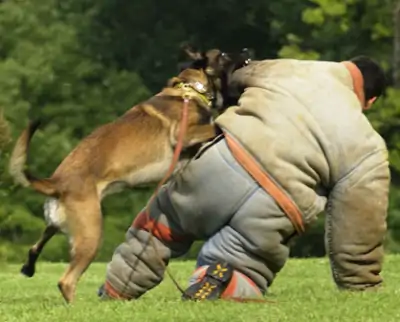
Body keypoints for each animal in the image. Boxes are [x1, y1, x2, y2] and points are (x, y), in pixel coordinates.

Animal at [8, 44, 253, 302]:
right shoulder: (184, 134)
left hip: (57, 225)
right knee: (66, 281)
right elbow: (215, 124)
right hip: (91, 235)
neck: (190, 90)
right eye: (224, 55)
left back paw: (28, 268)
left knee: (35, 247)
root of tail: (56, 182)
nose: (247, 49)